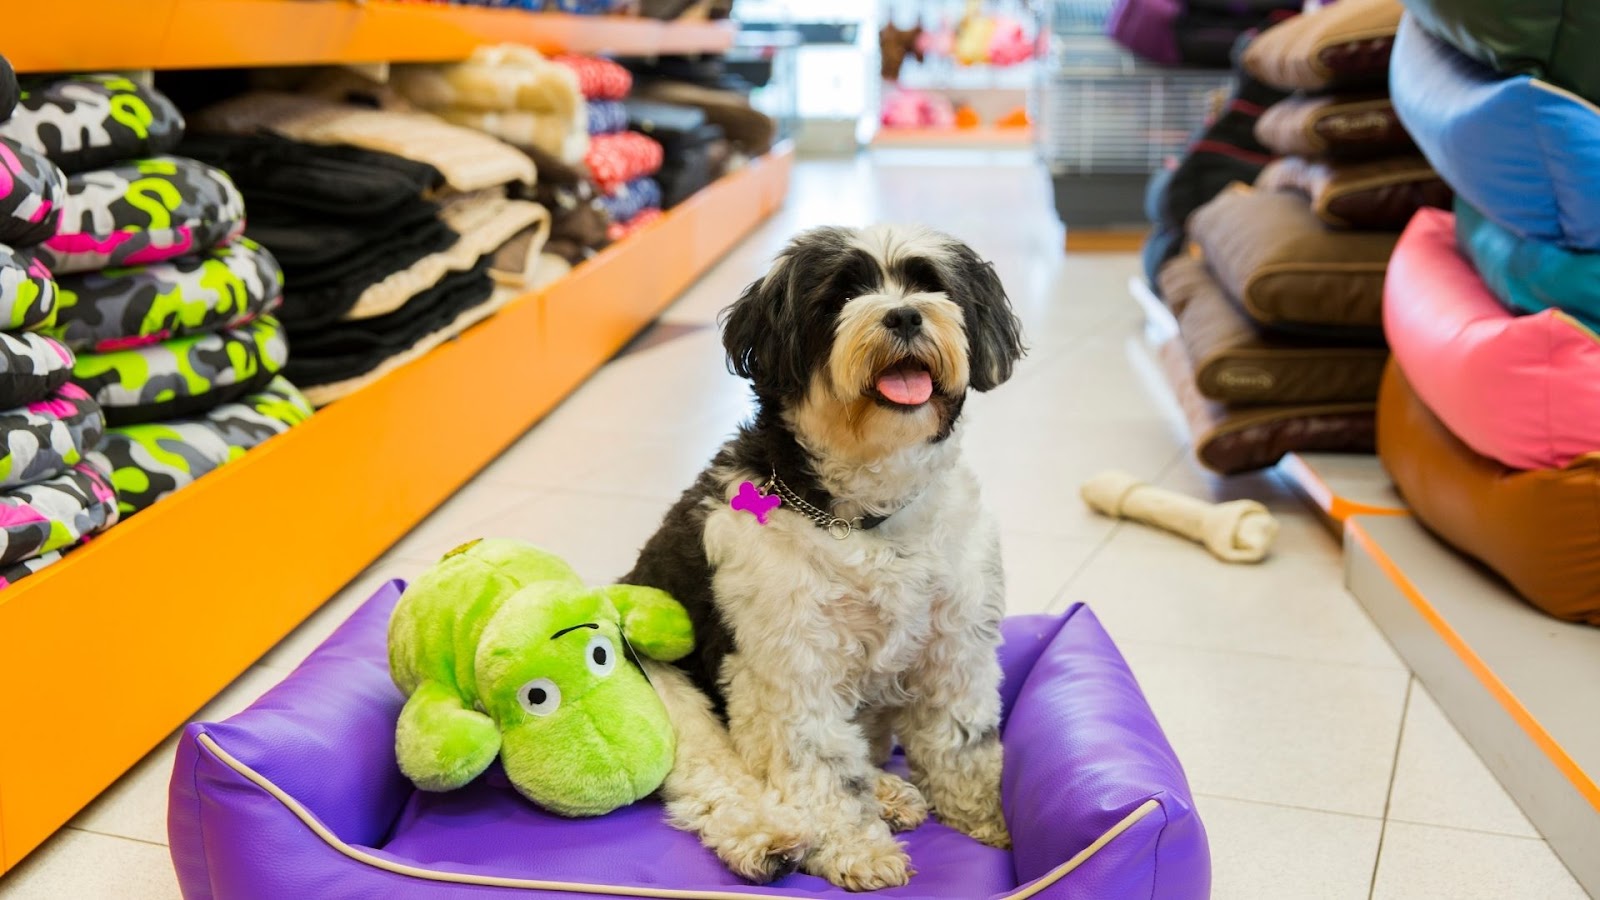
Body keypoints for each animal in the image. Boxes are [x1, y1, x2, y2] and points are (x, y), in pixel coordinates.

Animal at [624, 220, 1024, 883]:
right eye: (841, 295)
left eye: (930, 284)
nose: (905, 315)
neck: (864, 518)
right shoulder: (790, 667)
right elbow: (819, 769)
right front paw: (854, 848)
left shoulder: (955, 648)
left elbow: (962, 743)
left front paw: (990, 820)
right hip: (659, 686)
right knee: (712, 775)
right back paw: (769, 838)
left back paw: (889, 794)